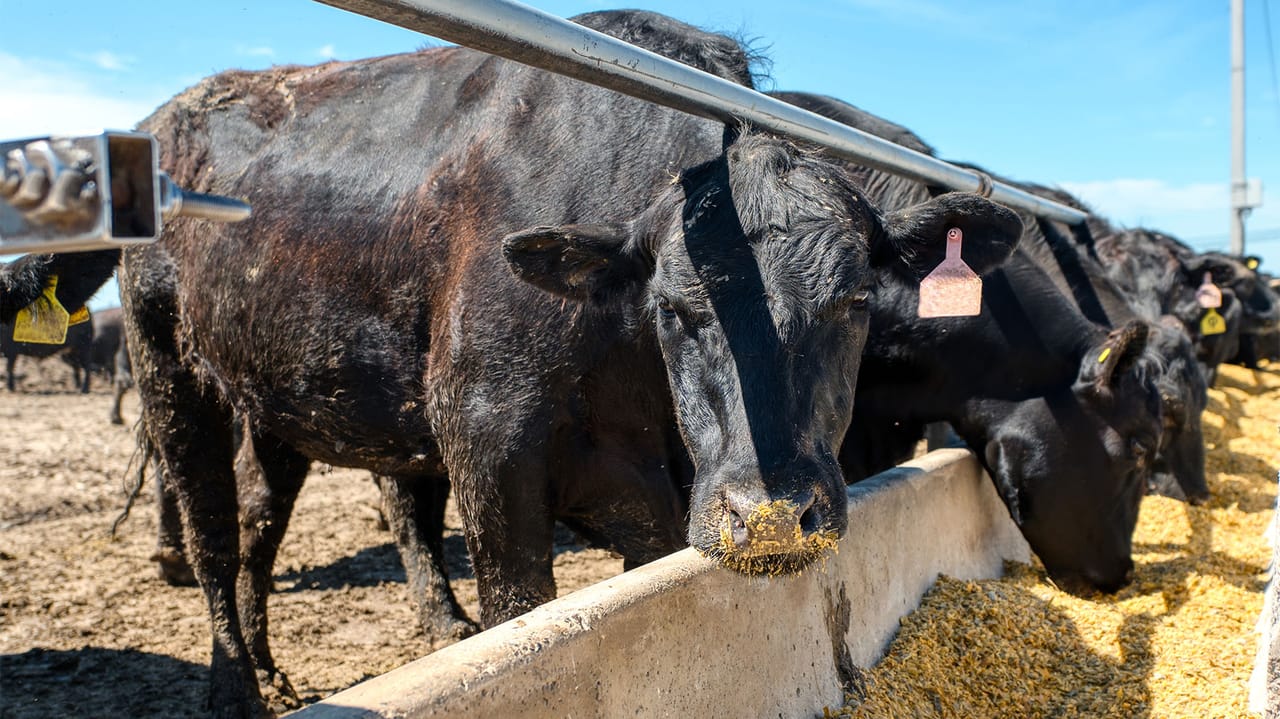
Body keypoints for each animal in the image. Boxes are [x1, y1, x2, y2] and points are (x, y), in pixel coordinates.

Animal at [119, 11, 1021, 717]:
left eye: (857, 300)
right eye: (674, 307)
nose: (769, 517)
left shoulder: (648, 500)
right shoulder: (489, 448)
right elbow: (519, 610)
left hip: (276, 396)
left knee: (261, 520)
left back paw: (285, 665)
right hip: (167, 365)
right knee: (212, 531)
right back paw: (235, 689)